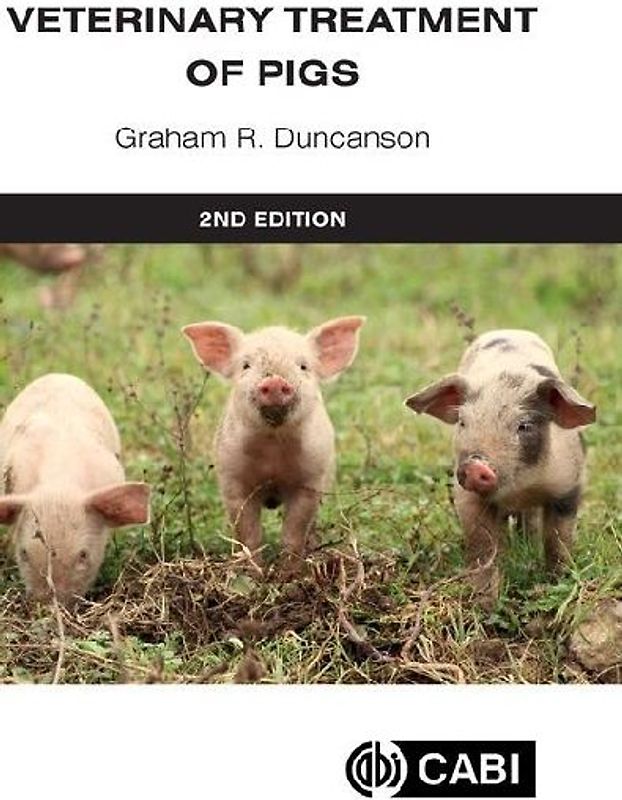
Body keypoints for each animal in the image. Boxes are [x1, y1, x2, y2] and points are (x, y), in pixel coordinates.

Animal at [182, 317, 365, 573]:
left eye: (303, 366)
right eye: (246, 365)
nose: (275, 381)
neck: (273, 449)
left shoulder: (310, 481)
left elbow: (294, 531)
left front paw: (289, 574)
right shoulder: (232, 479)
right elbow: (248, 532)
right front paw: (255, 572)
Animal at [405, 329, 596, 603]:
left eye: (524, 425)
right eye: (463, 422)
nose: (476, 465)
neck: (520, 488)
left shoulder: (569, 485)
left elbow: (559, 540)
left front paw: (558, 582)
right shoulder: (467, 496)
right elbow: (482, 546)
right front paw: (484, 602)